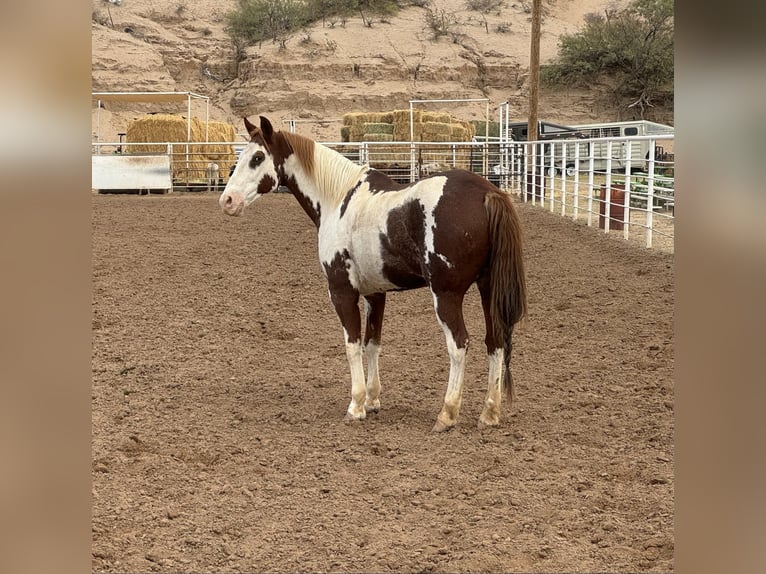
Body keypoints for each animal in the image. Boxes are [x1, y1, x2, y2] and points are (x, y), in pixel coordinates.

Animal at [219, 116, 527, 432]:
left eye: (257, 158)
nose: (227, 200)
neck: (338, 200)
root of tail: (488, 193)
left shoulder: (342, 292)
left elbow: (352, 345)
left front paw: (356, 405)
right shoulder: (375, 294)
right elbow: (372, 344)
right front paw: (372, 400)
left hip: (446, 295)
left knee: (459, 344)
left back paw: (447, 414)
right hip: (488, 289)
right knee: (495, 341)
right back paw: (489, 413)